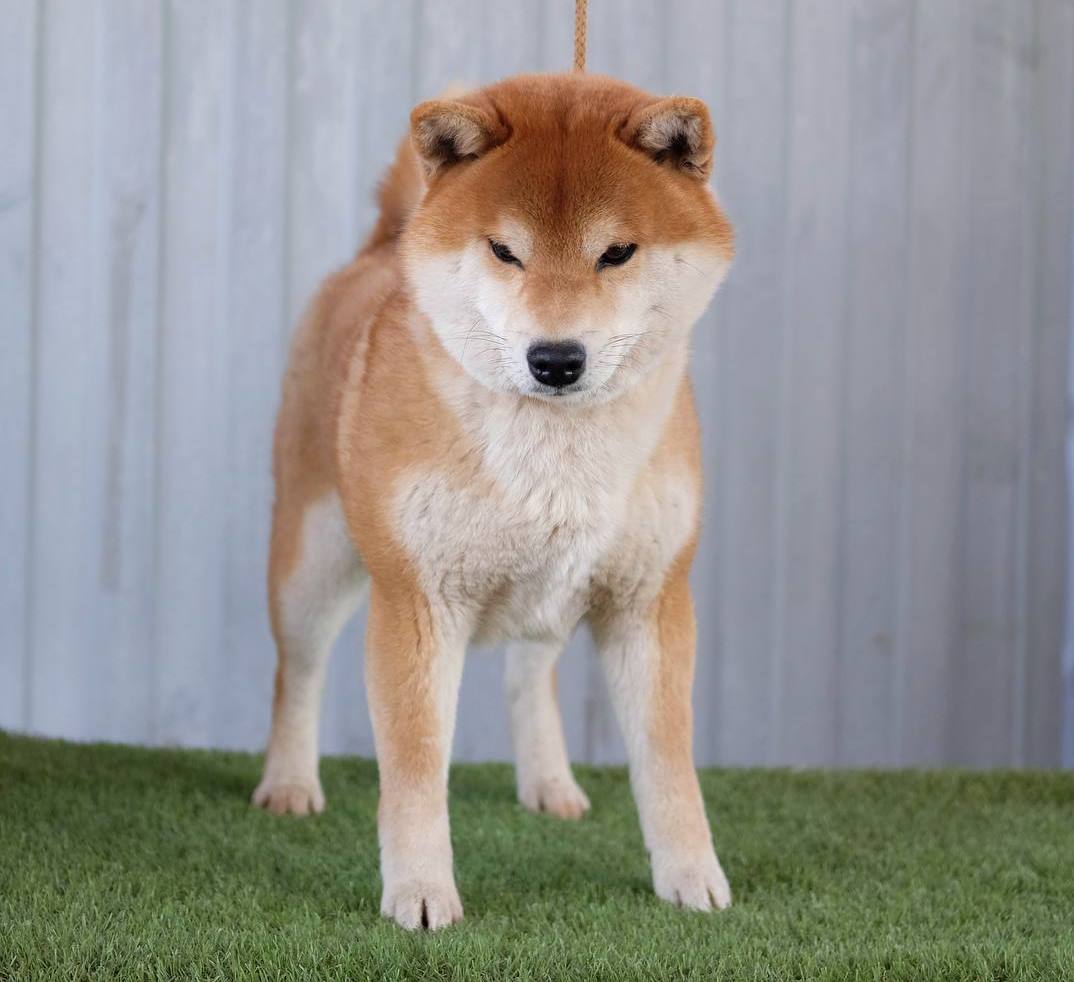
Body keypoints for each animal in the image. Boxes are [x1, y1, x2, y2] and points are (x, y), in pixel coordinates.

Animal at [252, 72, 735, 930]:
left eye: (617, 252)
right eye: (505, 250)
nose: (556, 359)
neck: (560, 456)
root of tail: (377, 253)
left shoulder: (651, 601)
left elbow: (668, 765)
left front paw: (691, 877)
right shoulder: (417, 601)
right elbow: (414, 771)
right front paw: (419, 891)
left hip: (554, 588)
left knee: (528, 676)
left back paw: (548, 782)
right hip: (311, 562)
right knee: (297, 673)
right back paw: (290, 784)